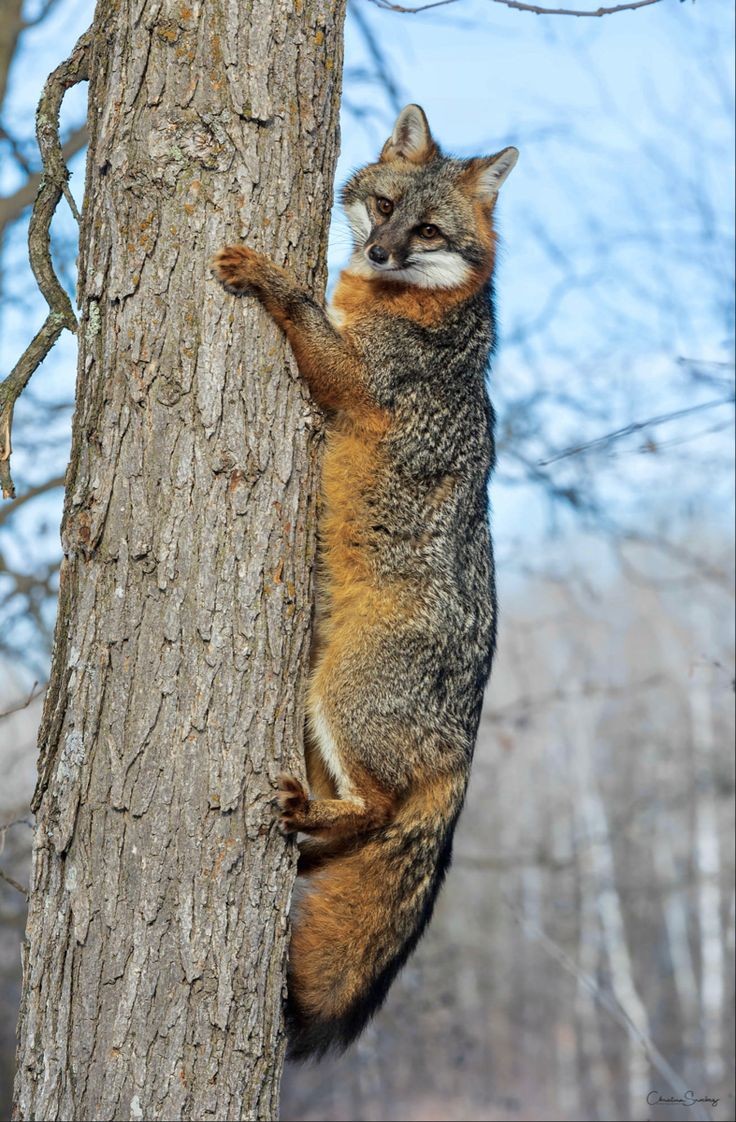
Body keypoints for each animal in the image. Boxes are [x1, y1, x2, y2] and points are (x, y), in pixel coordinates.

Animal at [209, 105, 513, 1059]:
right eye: (381, 207)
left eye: (426, 231)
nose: (378, 252)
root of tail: (465, 737)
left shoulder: (353, 381)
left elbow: (306, 311)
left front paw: (271, 276)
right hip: (315, 707)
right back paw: (308, 832)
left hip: (342, 700)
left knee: (376, 811)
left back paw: (319, 819)